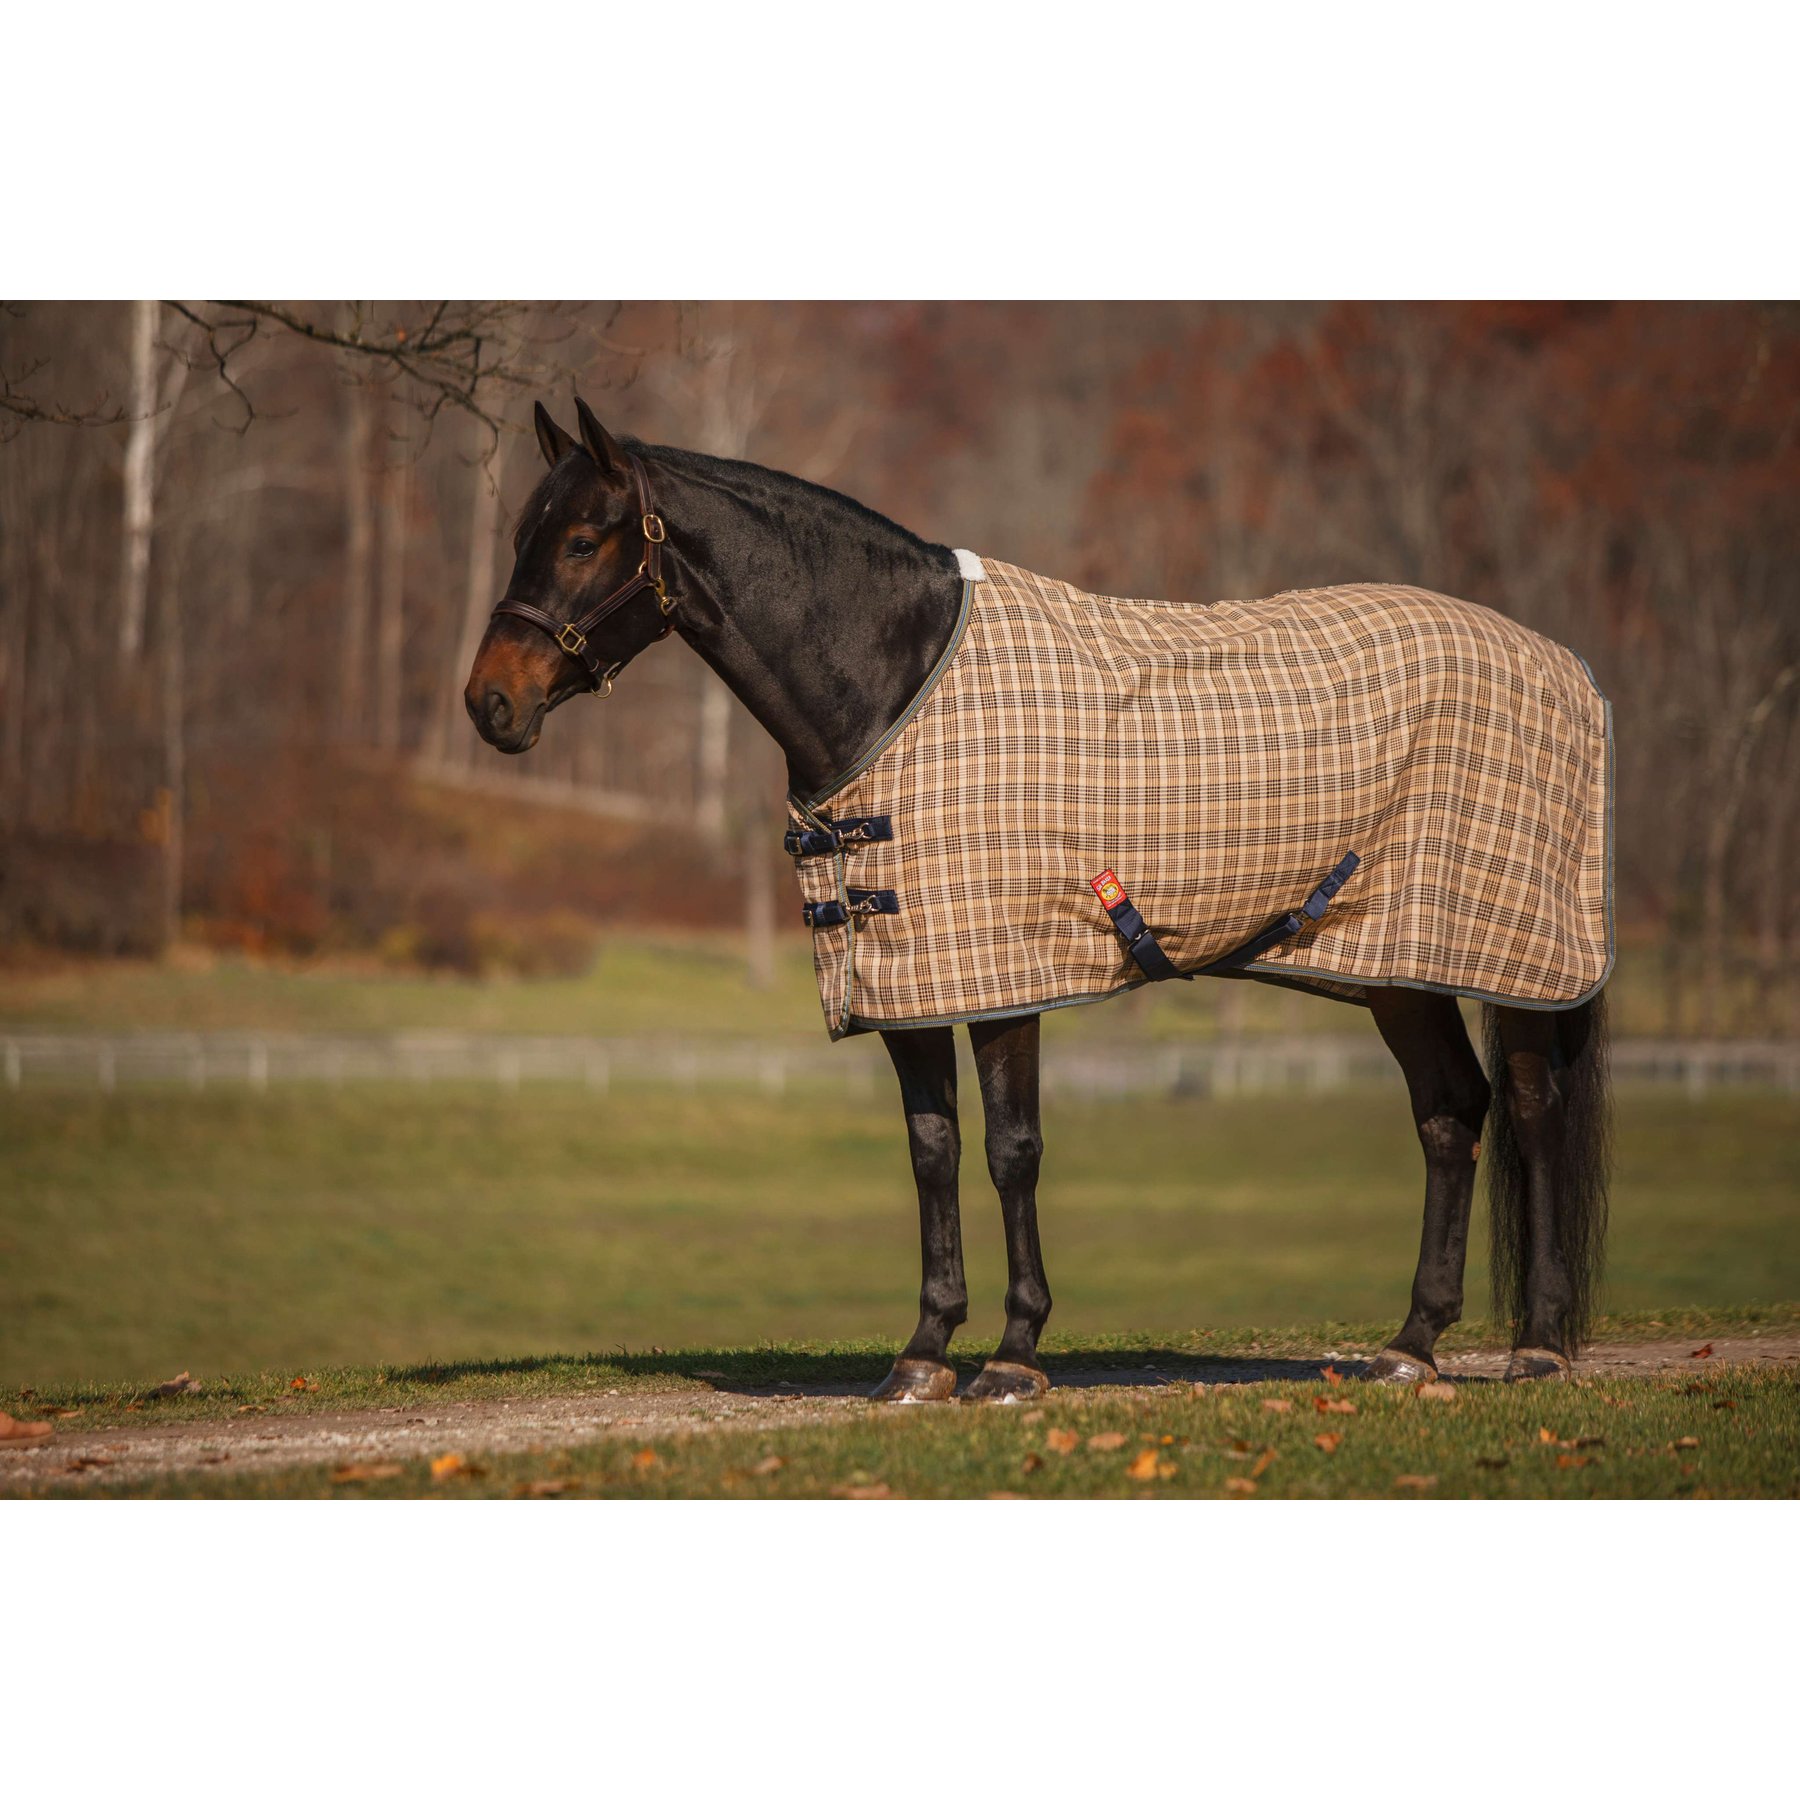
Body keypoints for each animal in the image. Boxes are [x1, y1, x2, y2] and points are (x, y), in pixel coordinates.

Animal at [464, 396, 1612, 1400]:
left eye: (581, 541)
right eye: (523, 535)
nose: (490, 704)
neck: (895, 680)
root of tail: (1565, 664)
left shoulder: (1007, 979)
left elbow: (1011, 1152)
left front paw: (1015, 1357)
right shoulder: (915, 978)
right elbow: (932, 1152)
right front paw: (923, 1353)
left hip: (1509, 957)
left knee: (1533, 1112)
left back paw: (1539, 1347)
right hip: (1396, 968)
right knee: (1451, 1115)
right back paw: (1412, 1346)